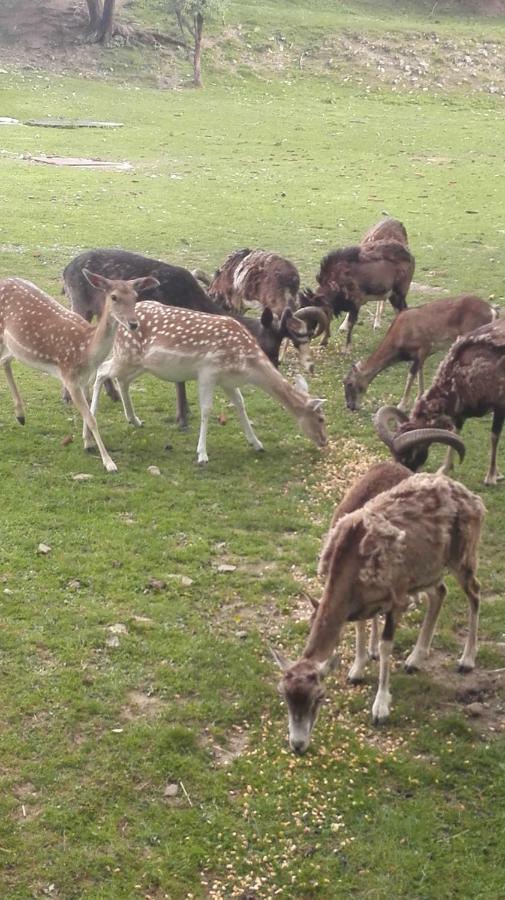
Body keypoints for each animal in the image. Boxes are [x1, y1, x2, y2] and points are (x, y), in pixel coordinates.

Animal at [0, 272, 158, 472]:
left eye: (135, 296)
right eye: (114, 297)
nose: (133, 324)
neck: (86, 349)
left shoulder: (85, 379)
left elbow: (90, 410)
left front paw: (88, 443)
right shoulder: (69, 378)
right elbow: (91, 418)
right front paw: (109, 462)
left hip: (12, 347)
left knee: (5, 361)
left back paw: (20, 415)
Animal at [89, 306, 326, 468]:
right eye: (321, 418)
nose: (324, 441)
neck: (246, 365)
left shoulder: (227, 381)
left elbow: (240, 404)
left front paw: (257, 443)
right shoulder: (208, 371)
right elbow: (206, 410)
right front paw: (202, 454)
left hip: (141, 364)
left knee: (122, 380)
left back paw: (134, 419)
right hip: (125, 354)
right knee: (101, 370)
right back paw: (92, 417)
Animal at [274, 472, 482, 752]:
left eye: (319, 696)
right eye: (284, 695)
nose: (297, 745)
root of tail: (470, 495)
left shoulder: (397, 595)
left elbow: (385, 646)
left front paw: (380, 708)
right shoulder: (363, 602)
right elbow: (360, 628)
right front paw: (356, 671)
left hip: (463, 553)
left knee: (475, 593)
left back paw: (466, 660)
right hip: (427, 570)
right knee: (440, 592)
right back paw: (415, 659)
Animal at [344, 296, 494, 412]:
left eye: (350, 383)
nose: (350, 406)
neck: (399, 342)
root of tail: (492, 312)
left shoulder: (424, 345)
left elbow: (411, 374)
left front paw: (402, 405)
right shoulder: (421, 354)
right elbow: (419, 372)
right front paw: (419, 397)